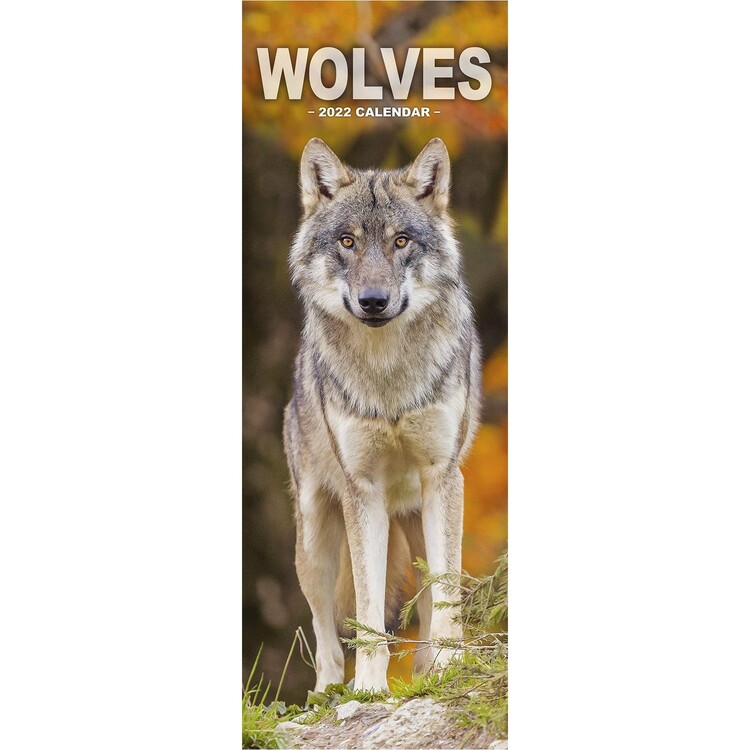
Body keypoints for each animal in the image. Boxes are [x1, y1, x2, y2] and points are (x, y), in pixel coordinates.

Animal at [283, 137, 481, 693]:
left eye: (400, 242)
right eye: (348, 242)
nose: (373, 301)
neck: (387, 374)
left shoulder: (443, 478)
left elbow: (448, 596)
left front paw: (452, 667)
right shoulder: (363, 491)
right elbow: (369, 609)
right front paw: (370, 688)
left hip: (417, 520)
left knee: (430, 601)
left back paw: (428, 670)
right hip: (315, 540)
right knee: (325, 633)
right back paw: (330, 693)